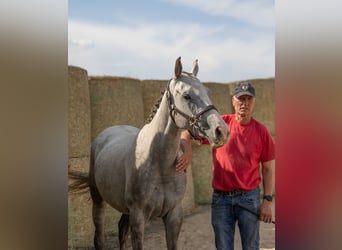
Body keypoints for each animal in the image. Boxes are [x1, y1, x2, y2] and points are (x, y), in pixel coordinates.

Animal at [69, 57, 228, 250]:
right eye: (186, 95)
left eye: (208, 92)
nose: (222, 131)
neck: (159, 163)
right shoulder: (139, 217)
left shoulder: (174, 215)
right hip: (98, 200)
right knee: (99, 238)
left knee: (122, 230)